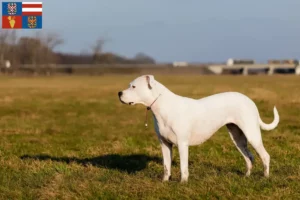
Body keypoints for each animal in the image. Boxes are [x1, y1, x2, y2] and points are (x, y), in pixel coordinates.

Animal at [117, 75, 278, 183]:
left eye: (133, 87)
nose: (119, 93)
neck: (162, 107)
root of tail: (249, 100)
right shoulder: (165, 144)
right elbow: (166, 165)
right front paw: (164, 182)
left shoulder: (182, 144)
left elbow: (183, 166)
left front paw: (183, 183)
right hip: (237, 138)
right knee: (249, 157)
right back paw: (247, 176)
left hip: (252, 134)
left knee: (265, 156)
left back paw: (265, 177)